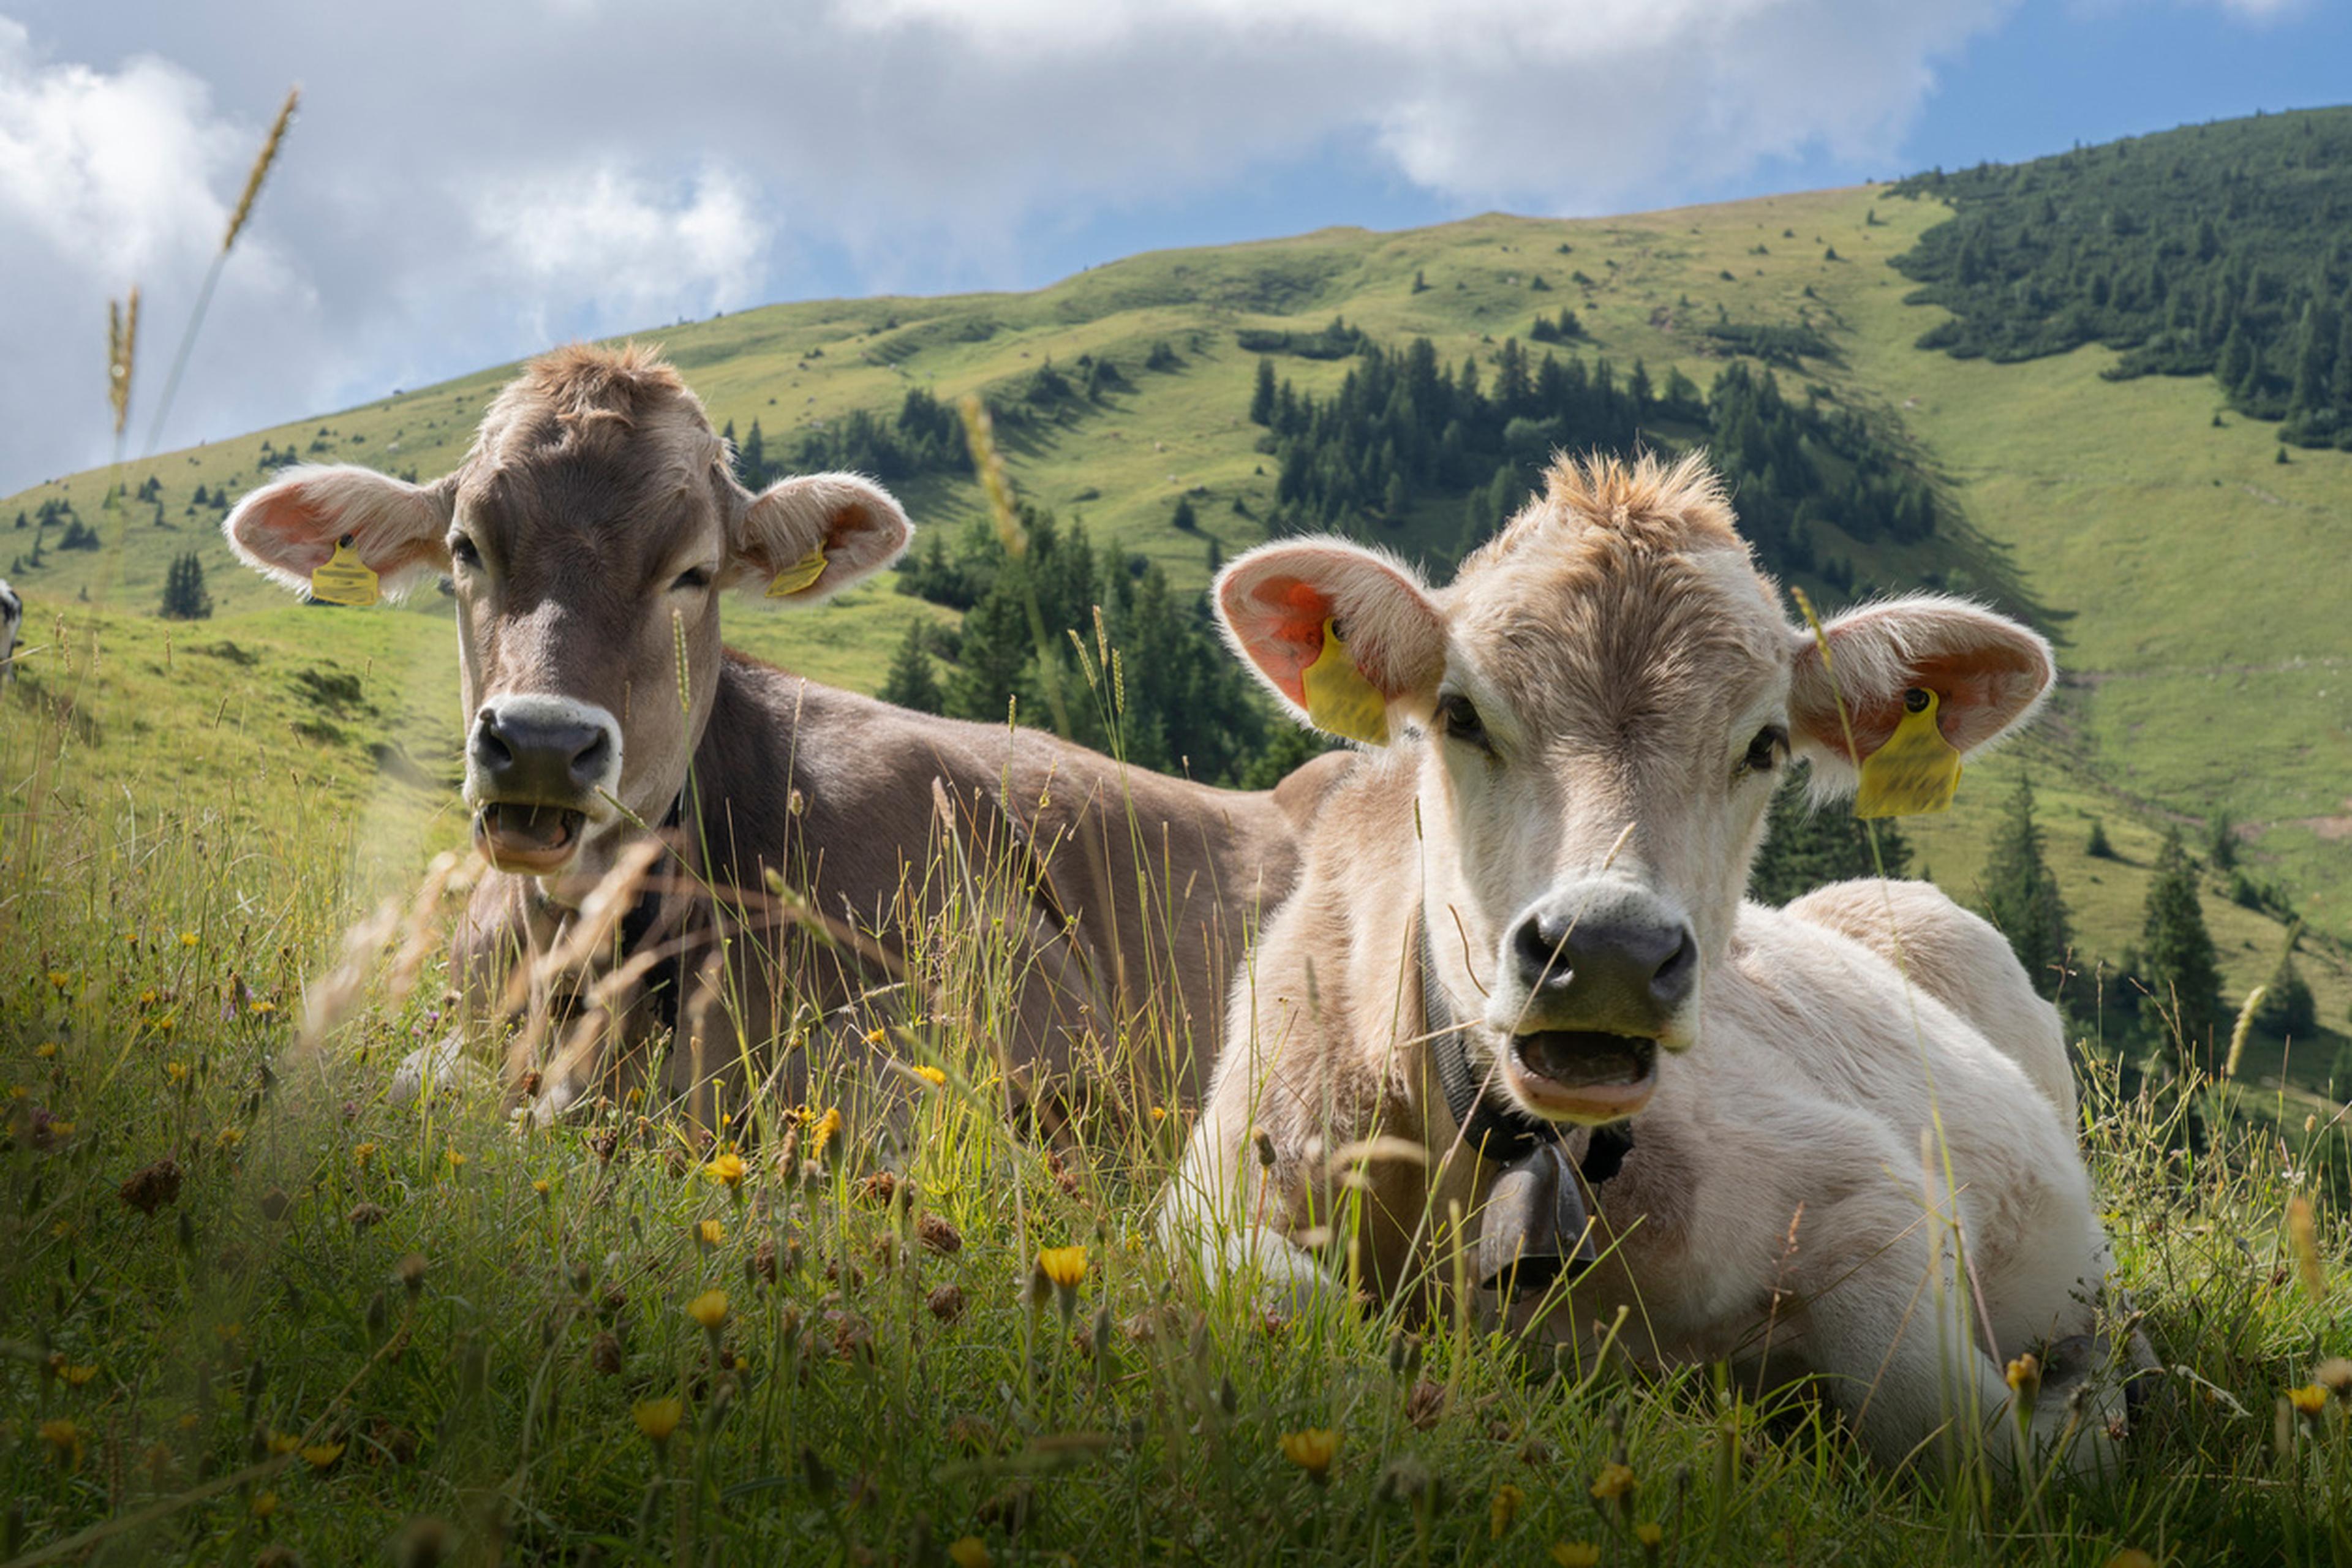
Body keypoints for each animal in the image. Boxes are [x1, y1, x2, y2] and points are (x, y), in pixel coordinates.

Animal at [1164, 451, 2146, 1476]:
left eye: (1765, 744)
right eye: (1460, 714)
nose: (1607, 950)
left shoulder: (1873, 1193)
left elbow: (1965, 1432)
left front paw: (2085, 1399)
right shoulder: (1213, 1191)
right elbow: (1293, 1314)